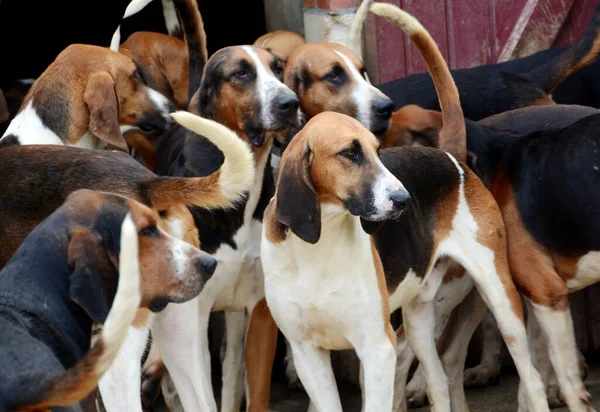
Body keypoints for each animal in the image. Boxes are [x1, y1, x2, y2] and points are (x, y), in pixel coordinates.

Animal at [260, 3, 552, 412]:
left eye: (378, 150)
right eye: (350, 153)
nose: (404, 200)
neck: (319, 248)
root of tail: (449, 155)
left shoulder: (376, 350)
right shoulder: (308, 356)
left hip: (499, 298)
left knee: (532, 377)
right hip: (419, 318)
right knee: (439, 383)